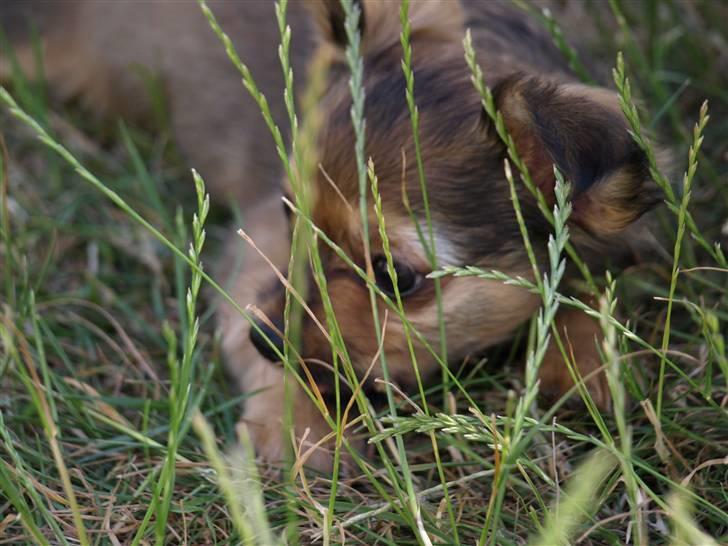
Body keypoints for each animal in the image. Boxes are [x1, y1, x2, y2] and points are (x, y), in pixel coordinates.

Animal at [1, 0, 660, 470]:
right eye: (290, 212)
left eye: (395, 275)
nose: (266, 339)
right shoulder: (255, 251)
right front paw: (298, 426)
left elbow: (598, 286)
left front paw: (584, 363)